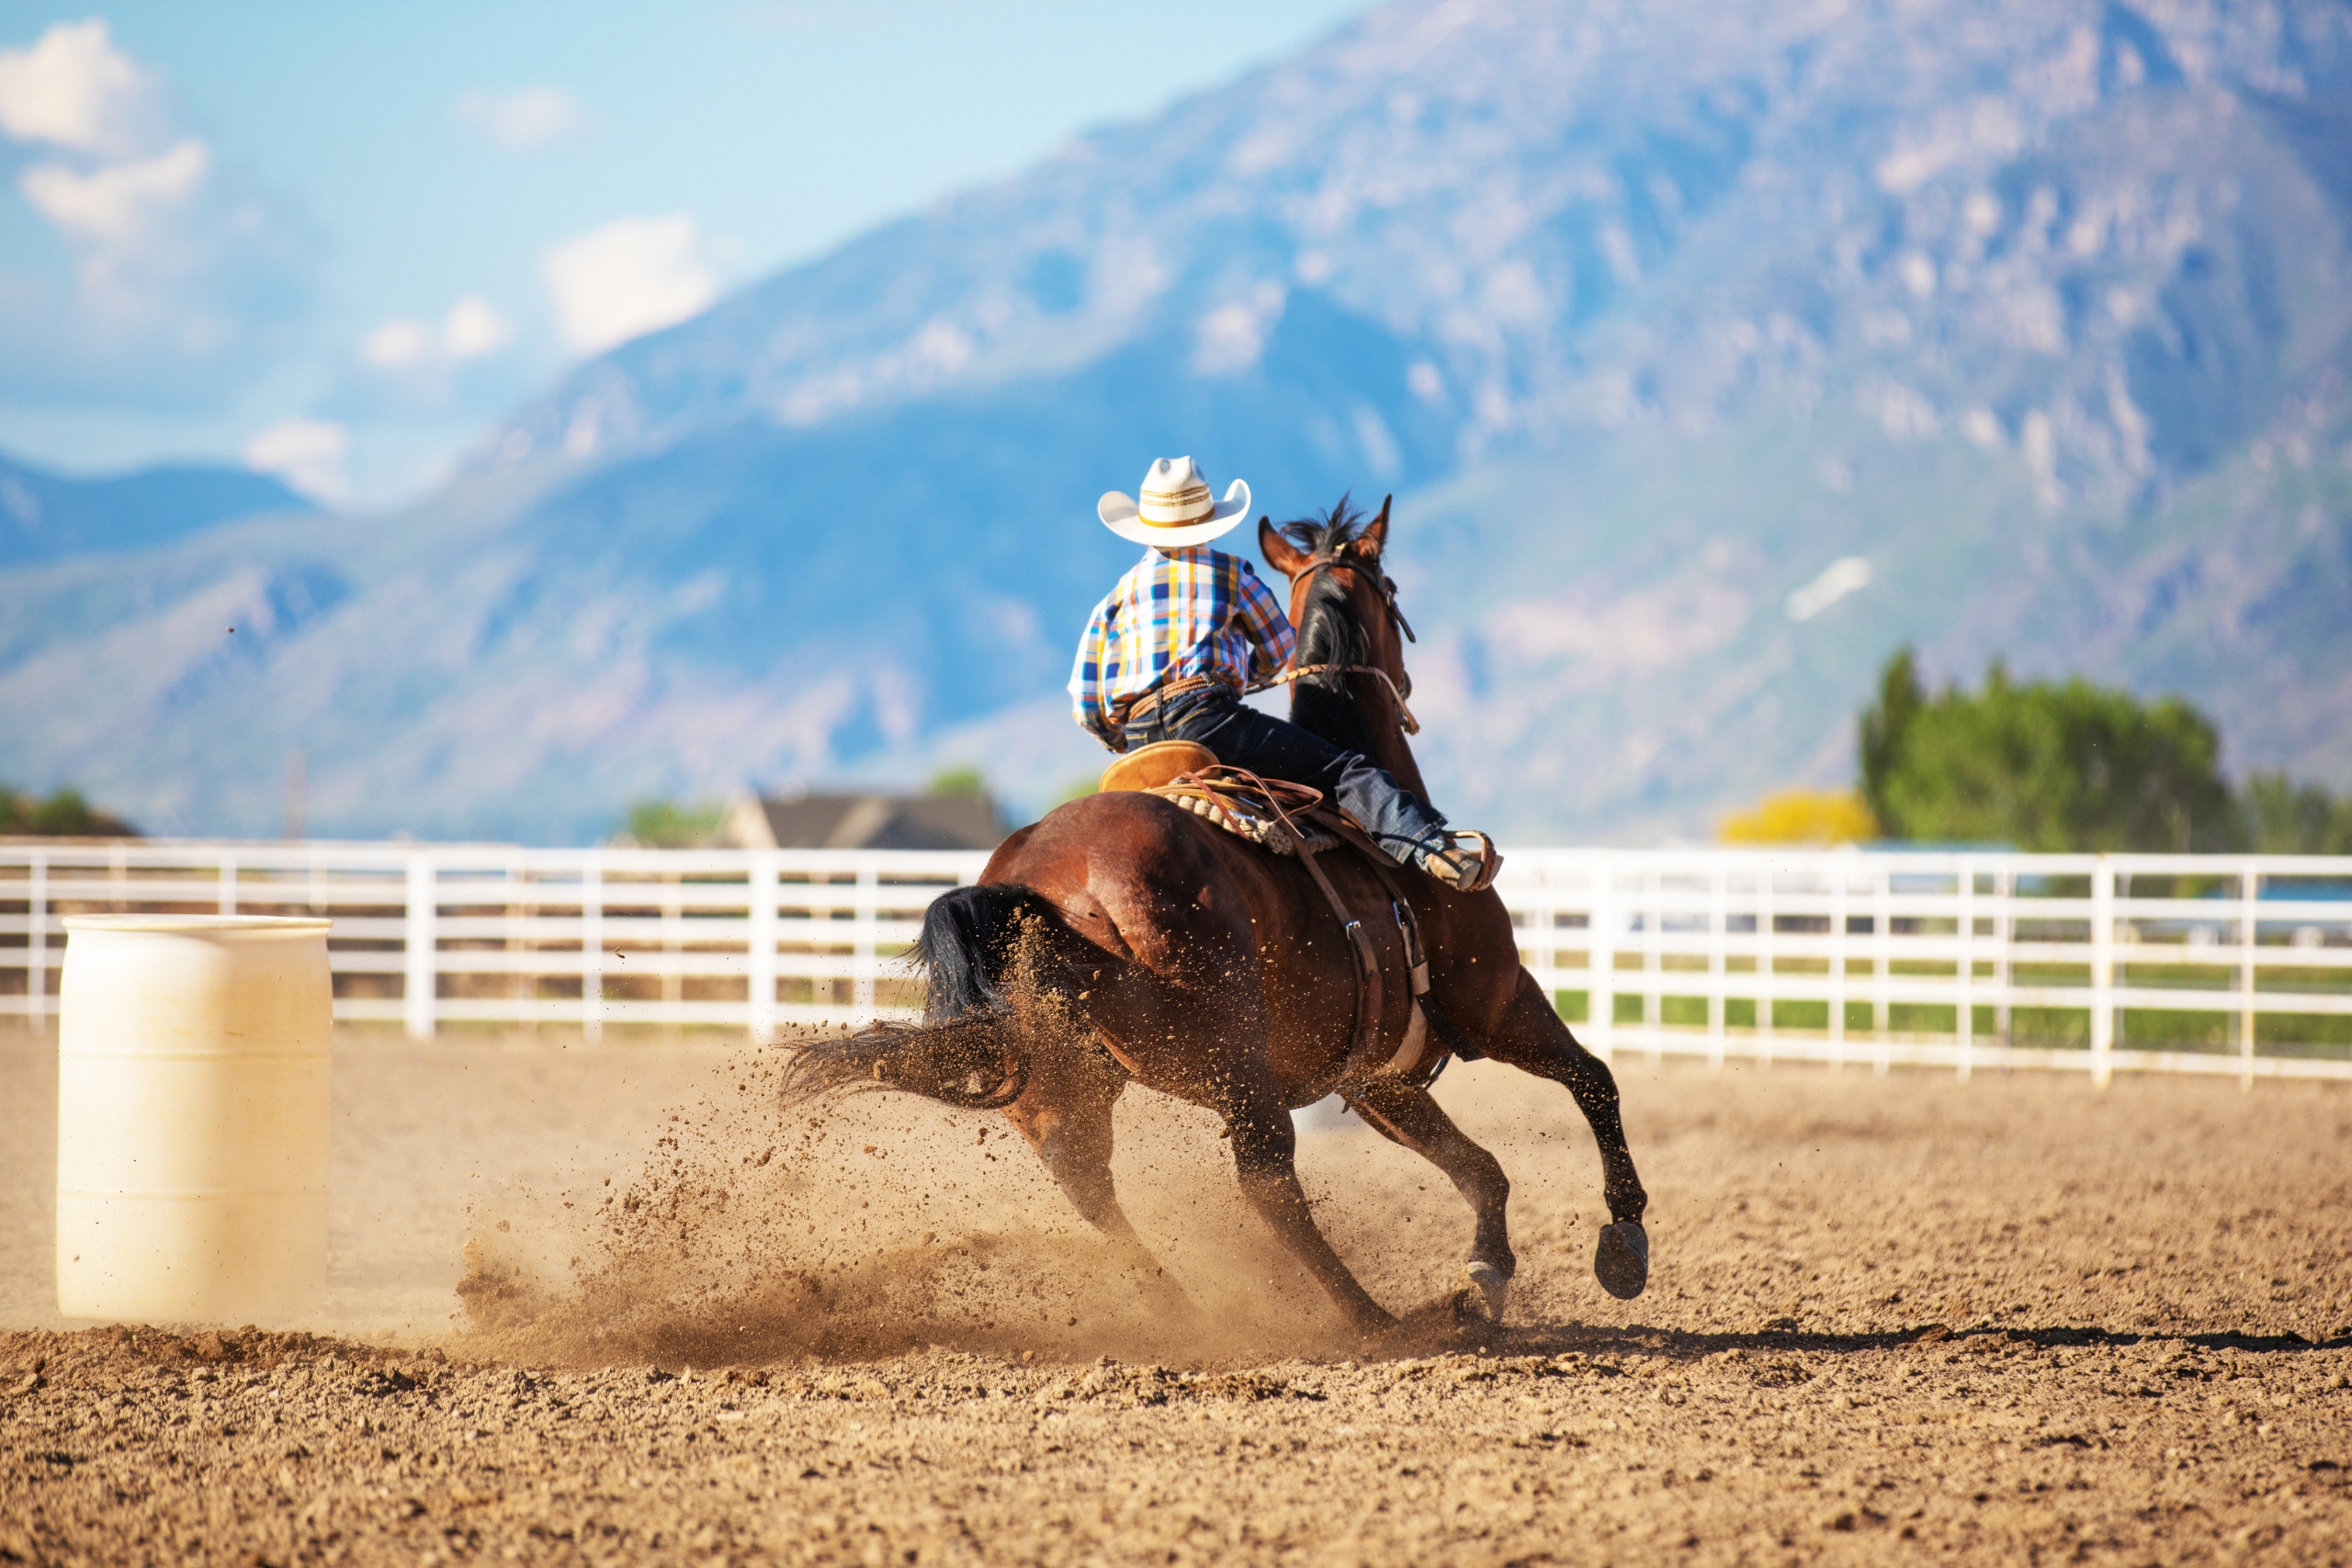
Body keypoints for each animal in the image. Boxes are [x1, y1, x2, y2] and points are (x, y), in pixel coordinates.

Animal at [783, 496, 1649, 1337]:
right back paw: (1376, 1320)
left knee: (1091, 1188)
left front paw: (1488, 1272)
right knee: (1267, 1184)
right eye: (1394, 592)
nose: (1407, 684)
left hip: (1065, 1082)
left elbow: (1482, 1168)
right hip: (1237, 1061)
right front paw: (1623, 1241)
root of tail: (1038, 881)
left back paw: (1184, 1311)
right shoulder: (1496, 1001)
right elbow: (1593, 1079)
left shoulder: (1378, 1078)